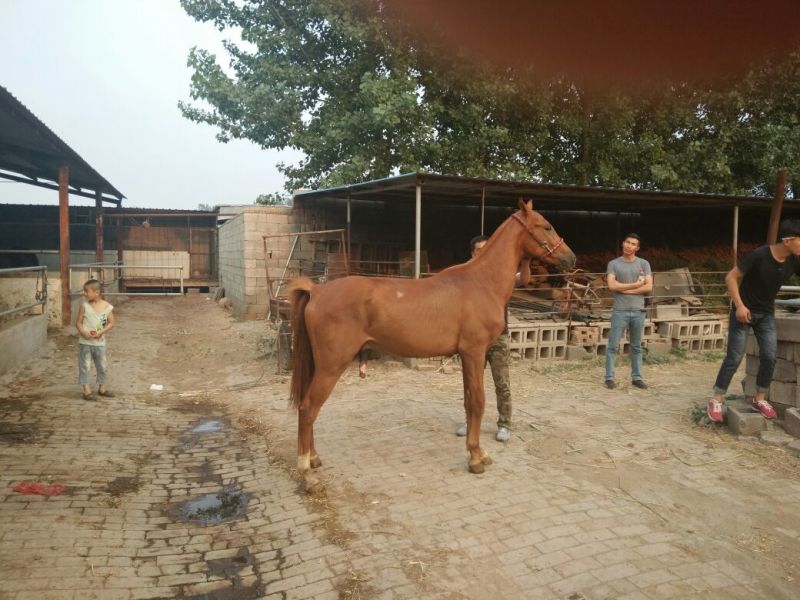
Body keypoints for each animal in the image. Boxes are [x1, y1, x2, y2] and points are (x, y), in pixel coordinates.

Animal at [288, 199, 576, 493]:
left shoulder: (468, 356)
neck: (481, 282)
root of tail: (317, 291)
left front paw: (478, 452)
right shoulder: (474, 352)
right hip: (331, 366)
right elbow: (479, 402)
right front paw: (475, 458)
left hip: (318, 365)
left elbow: (468, 401)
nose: (571, 258)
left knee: (308, 409)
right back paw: (307, 474)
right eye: (546, 226)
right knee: (308, 408)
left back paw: (313, 459)